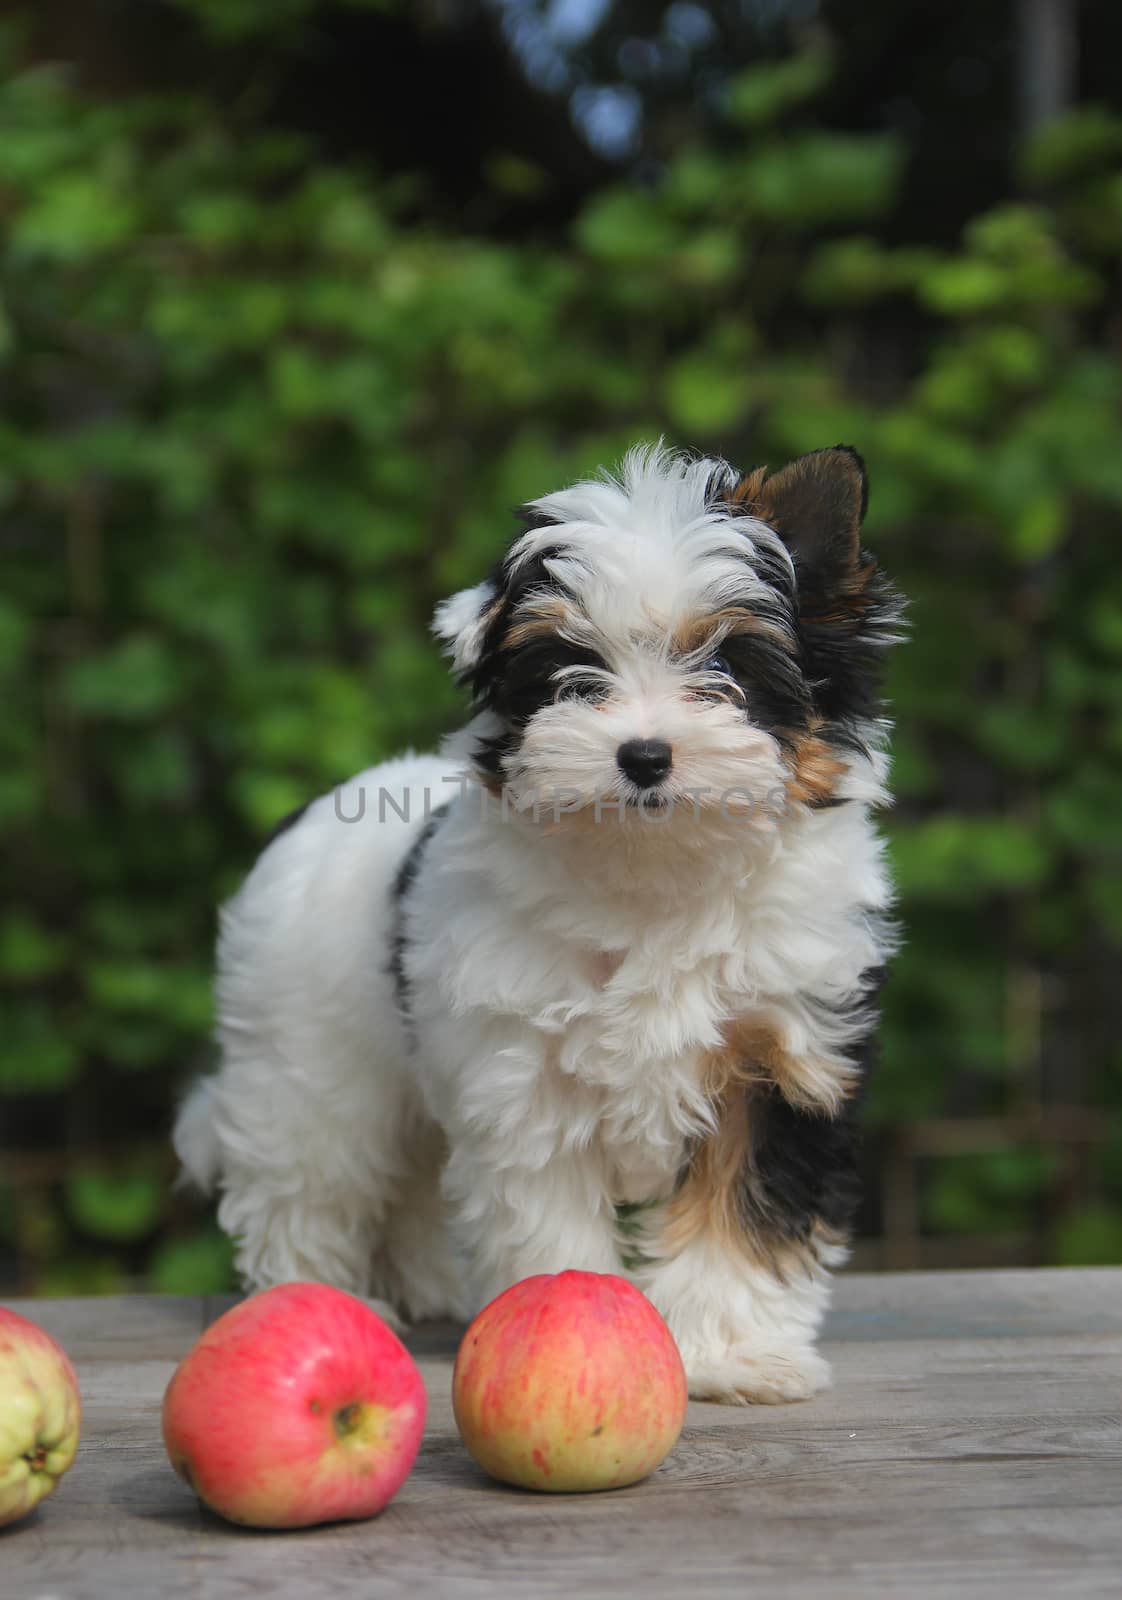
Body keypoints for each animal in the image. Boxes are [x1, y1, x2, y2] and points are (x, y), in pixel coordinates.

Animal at [179, 448, 909, 1401]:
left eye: (726, 665)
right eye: (573, 671)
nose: (644, 755)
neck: (659, 871)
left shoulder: (784, 1057)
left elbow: (743, 1212)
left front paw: (727, 1354)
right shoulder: (523, 1074)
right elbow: (548, 1212)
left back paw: (427, 1288)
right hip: (307, 1058)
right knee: (307, 1177)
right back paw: (319, 1295)